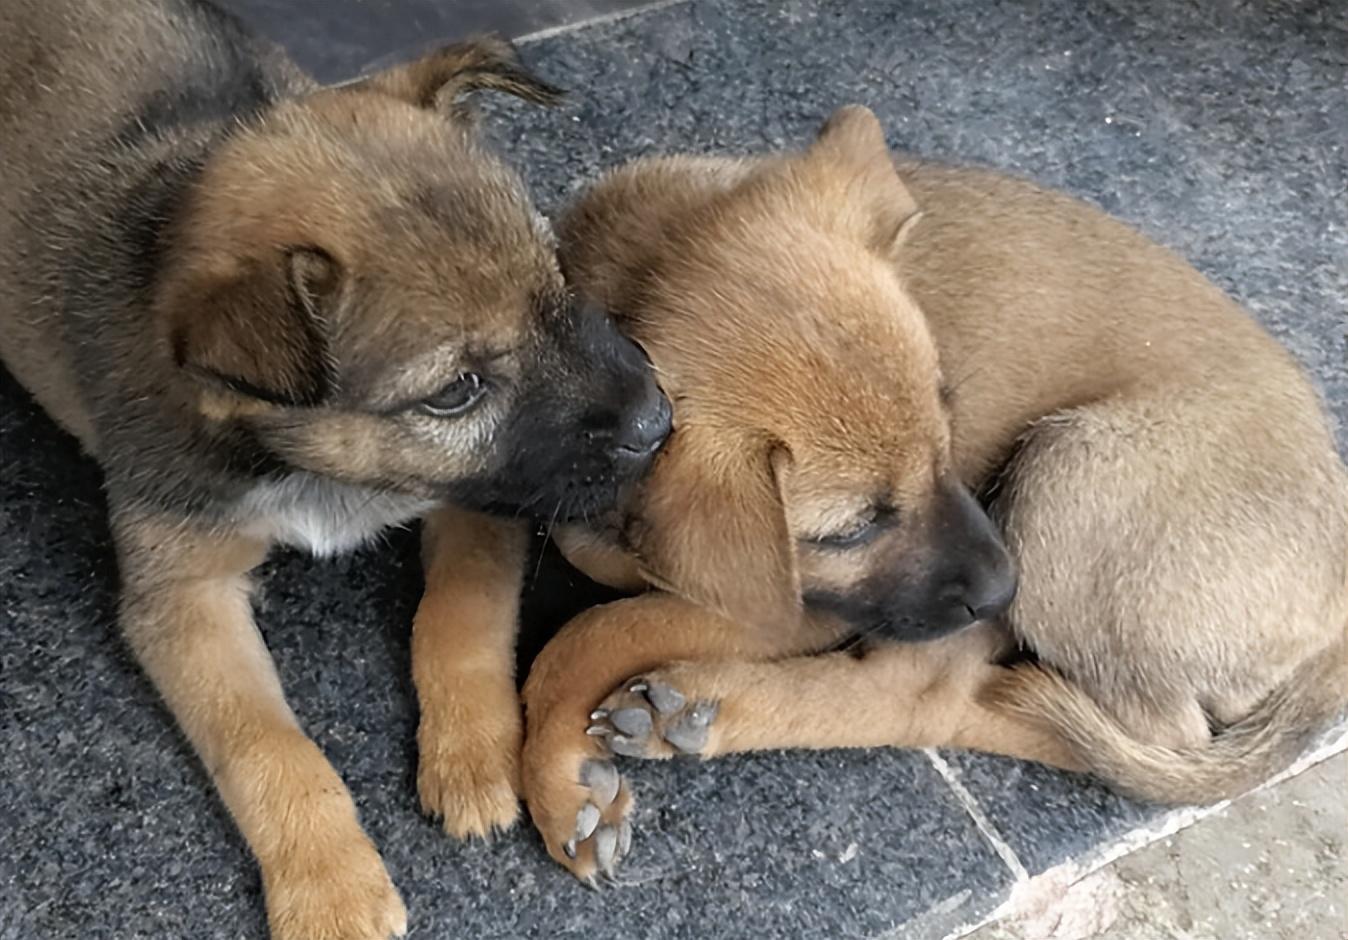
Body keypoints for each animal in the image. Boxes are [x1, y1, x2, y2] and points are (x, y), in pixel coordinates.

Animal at [0, 1, 674, 938]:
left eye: (558, 282)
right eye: (456, 390)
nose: (660, 420)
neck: (318, 467)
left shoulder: (479, 496)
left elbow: (459, 616)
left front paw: (476, 753)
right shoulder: (183, 597)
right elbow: (269, 745)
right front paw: (332, 886)